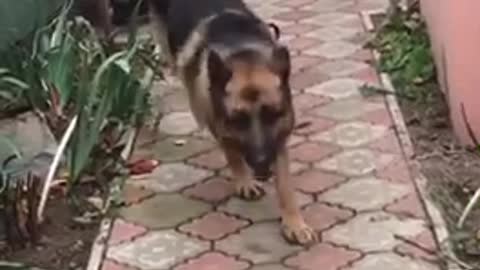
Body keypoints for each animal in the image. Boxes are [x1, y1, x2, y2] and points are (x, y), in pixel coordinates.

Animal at [148, 0, 316, 245]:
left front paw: (294, 223)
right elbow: (233, 153)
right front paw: (244, 181)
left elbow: (285, 185)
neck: (242, 53)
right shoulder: (219, 124)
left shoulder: (278, 141)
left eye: (272, 115)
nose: (262, 162)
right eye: (239, 120)